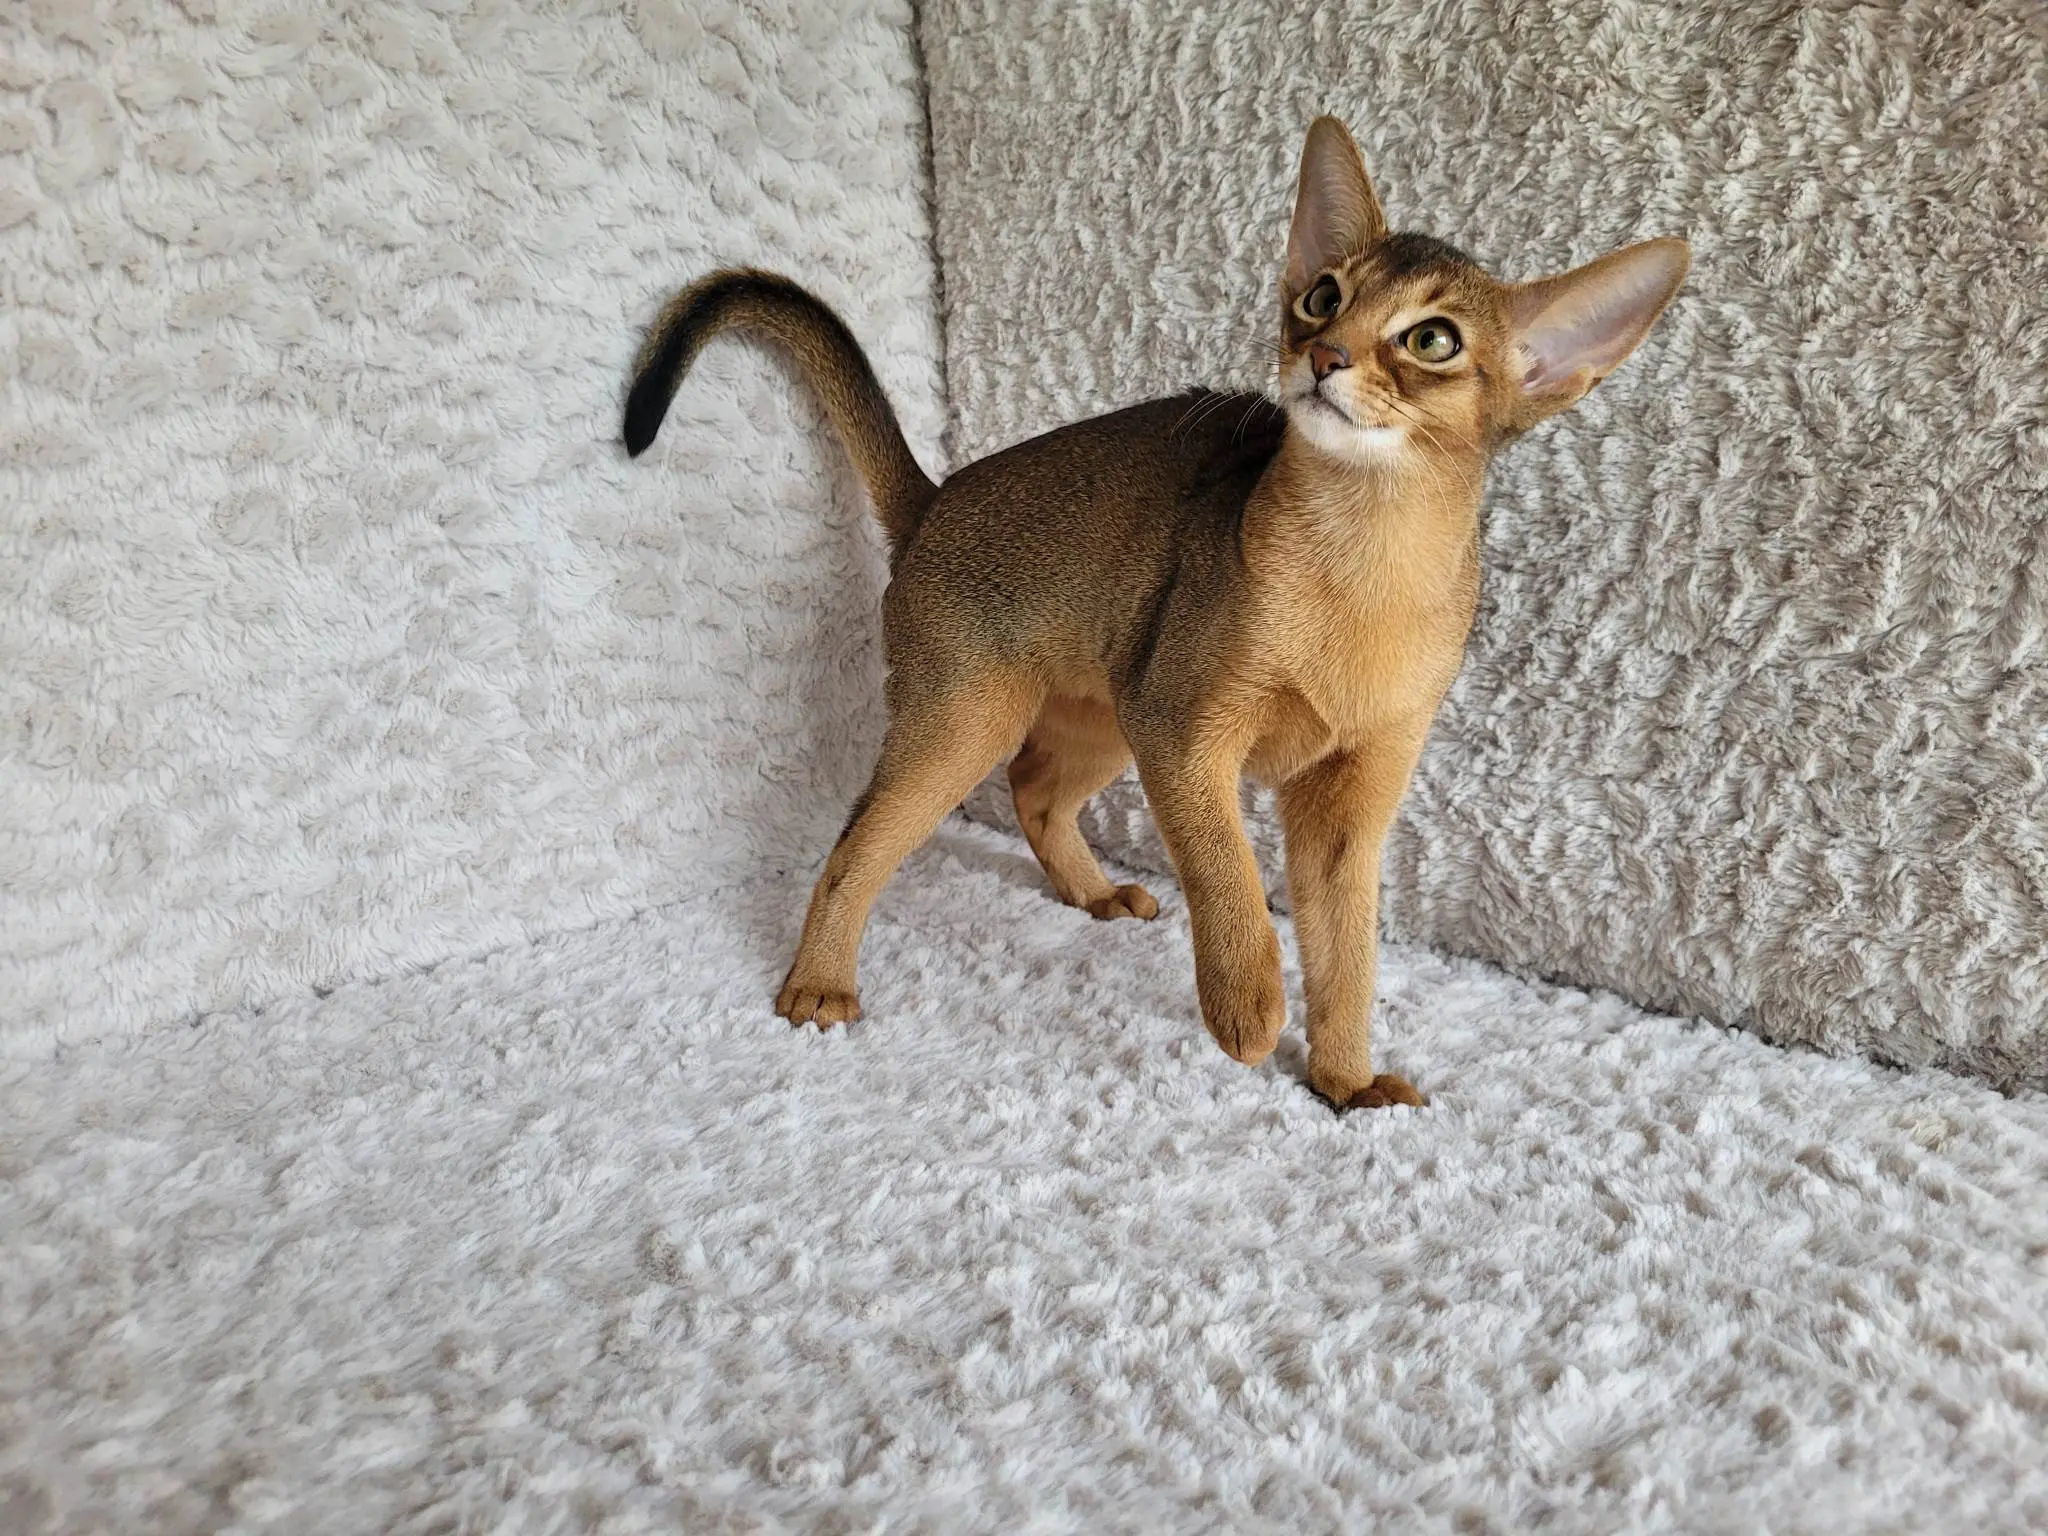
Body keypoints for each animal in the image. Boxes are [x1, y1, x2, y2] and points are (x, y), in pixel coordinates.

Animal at [623, 115, 1688, 1110]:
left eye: (1432, 339)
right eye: (1325, 295)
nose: (1325, 355)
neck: (1361, 567)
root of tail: (937, 498)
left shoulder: (1349, 796)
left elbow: (1349, 955)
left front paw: (1345, 1081)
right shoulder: (1184, 731)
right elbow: (1231, 881)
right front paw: (1249, 1009)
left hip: (1104, 707)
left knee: (1036, 790)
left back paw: (1089, 892)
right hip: (977, 712)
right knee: (854, 844)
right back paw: (818, 985)